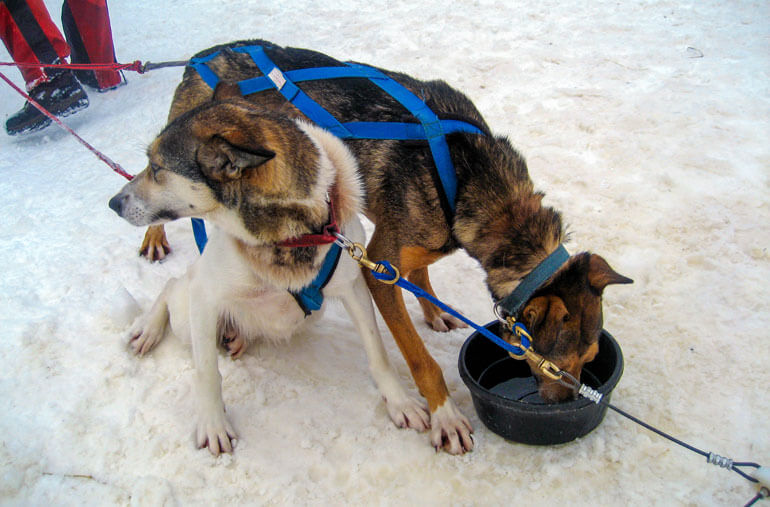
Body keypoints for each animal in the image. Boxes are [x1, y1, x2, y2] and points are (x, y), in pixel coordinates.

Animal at [138, 38, 632, 452]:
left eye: (589, 359)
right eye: (555, 367)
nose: (563, 403)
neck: (468, 175)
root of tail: (206, 54)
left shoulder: (410, 248)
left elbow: (422, 274)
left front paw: (433, 310)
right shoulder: (377, 266)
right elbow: (419, 359)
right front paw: (444, 415)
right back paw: (153, 240)